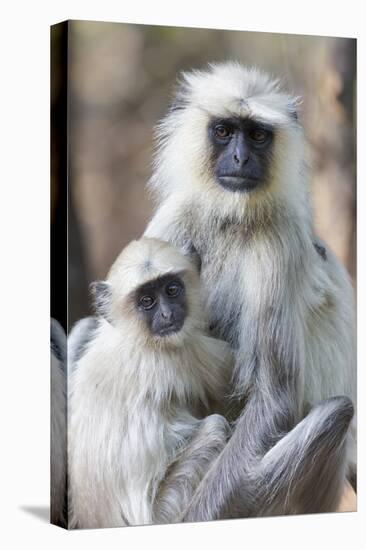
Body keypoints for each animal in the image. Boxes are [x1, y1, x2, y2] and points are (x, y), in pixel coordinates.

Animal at [144, 62, 356, 520]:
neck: (231, 218)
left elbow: (275, 401)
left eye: (257, 135)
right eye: (224, 131)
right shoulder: (176, 217)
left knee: (336, 412)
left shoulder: (278, 239)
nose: (240, 157)